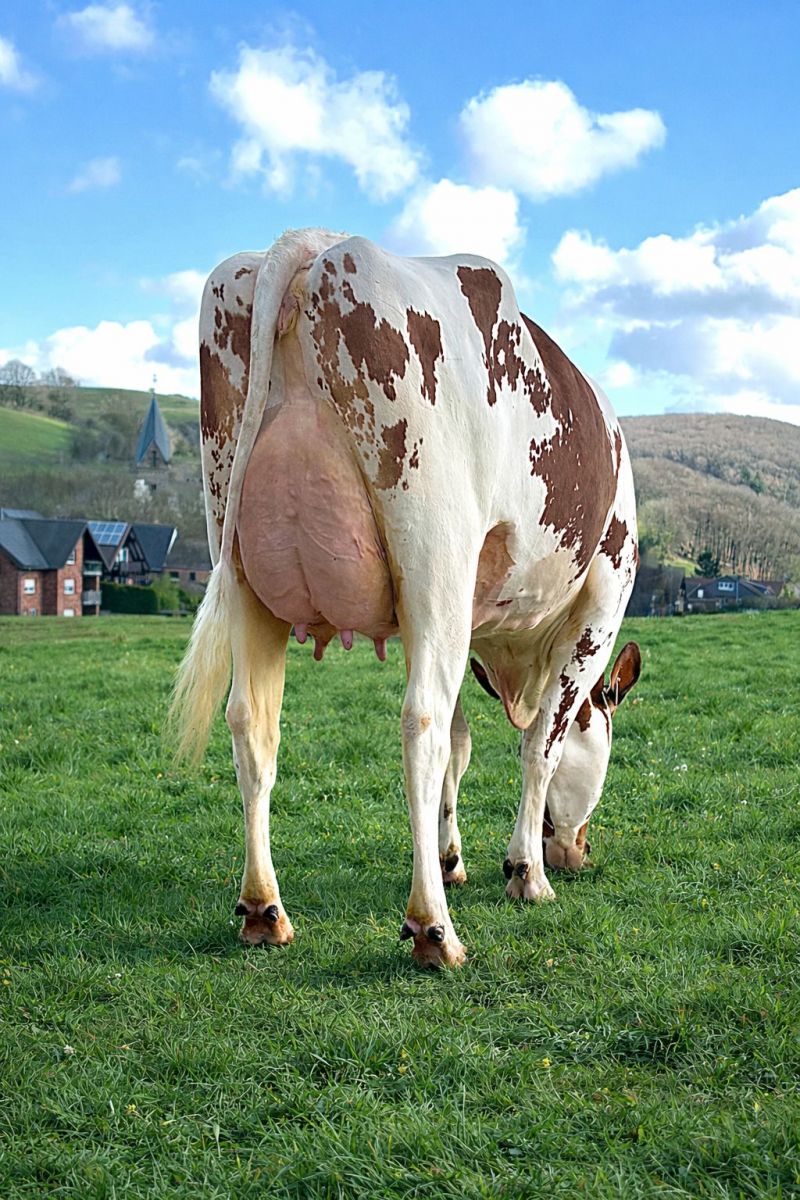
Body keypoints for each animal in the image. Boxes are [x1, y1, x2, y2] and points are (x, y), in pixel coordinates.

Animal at [172, 228, 639, 968]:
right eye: (609, 740)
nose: (578, 852)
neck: (519, 661)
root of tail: (316, 245)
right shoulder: (600, 599)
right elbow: (537, 743)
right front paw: (525, 873)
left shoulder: (467, 621)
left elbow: (463, 742)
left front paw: (453, 859)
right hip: (435, 558)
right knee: (419, 722)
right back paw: (432, 927)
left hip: (241, 560)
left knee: (253, 724)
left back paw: (264, 909)